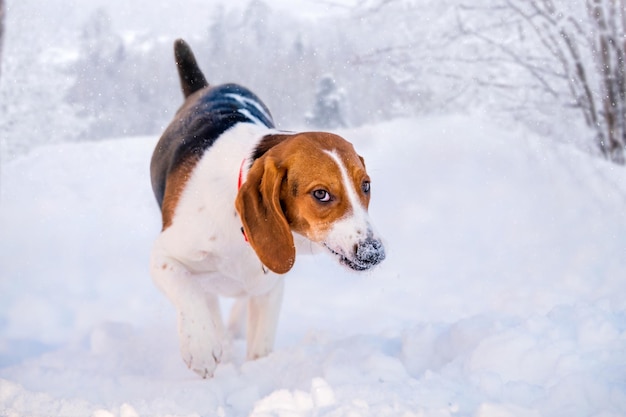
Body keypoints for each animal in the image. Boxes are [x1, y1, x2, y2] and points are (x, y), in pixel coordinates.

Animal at [150, 39, 386, 376]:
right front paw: (201, 345)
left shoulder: (271, 288)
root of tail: (206, 87)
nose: (374, 252)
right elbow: (189, 293)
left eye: (365, 185)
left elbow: (259, 346)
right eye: (321, 194)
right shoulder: (162, 258)